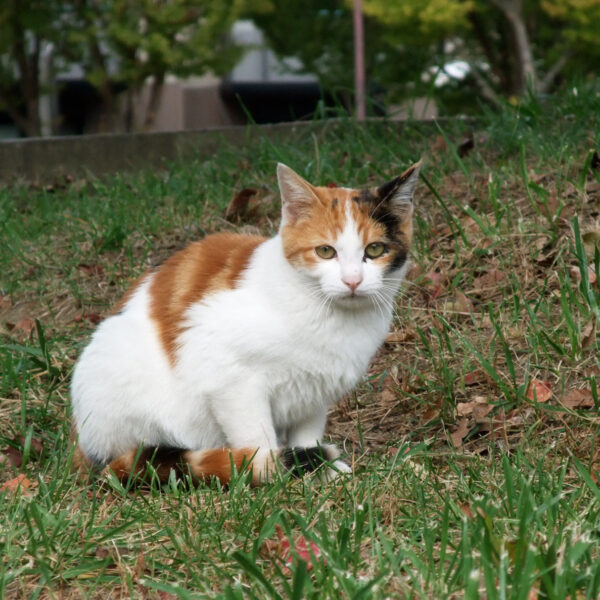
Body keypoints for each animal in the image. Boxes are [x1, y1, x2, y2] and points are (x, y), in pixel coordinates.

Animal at [71, 162, 422, 486]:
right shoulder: (229, 378)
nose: (352, 281)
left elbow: (307, 435)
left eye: (374, 249)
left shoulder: (315, 393)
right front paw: (271, 474)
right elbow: (257, 441)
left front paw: (319, 470)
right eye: (325, 251)